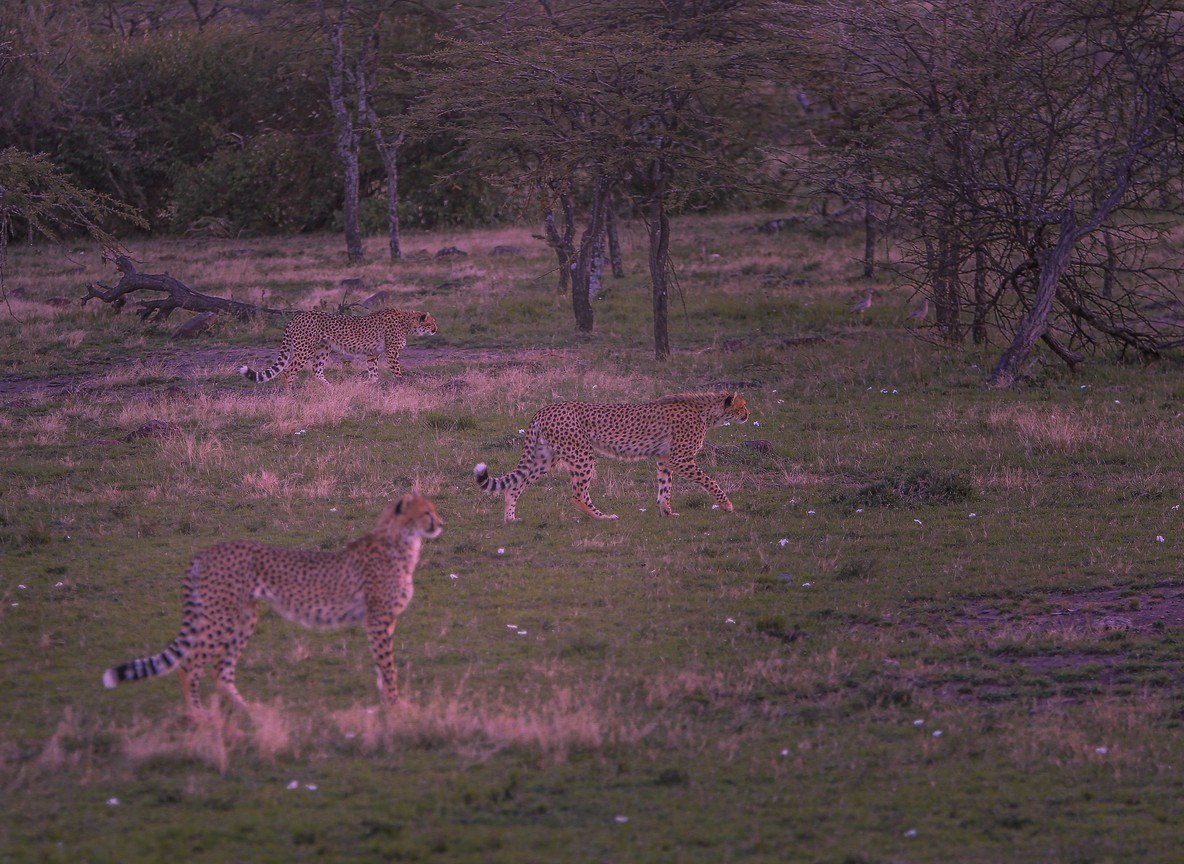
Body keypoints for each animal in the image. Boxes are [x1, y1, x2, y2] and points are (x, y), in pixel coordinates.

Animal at [102, 494, 443, 715]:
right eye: (427, 512)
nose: (441, 522)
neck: (401, 540)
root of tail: (208, 549)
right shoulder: (378, 619)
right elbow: (388, 666)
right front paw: (397, 707)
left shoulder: (379, 621)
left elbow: (380, 667)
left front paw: (388, 704)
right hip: (220, 616)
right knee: (189, 665)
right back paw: (200, 718)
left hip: (244, 616)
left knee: (220, 670)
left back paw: (251, 712)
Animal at [239, 308, 437, 389]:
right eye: (431, 322)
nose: (436, 329)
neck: (407, 321)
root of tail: (298, 315)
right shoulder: (392, 352)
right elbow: (396, 371)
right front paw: (401, 383)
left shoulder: (373, 353)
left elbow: (373, 371)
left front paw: (369, 383)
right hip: (305, 349)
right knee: (288, 371)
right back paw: (289, 394)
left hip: (322, 349)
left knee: (316, 371)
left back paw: (331, 389)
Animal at [474, 391, 749, 521]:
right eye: (742, 405)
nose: (748, 415)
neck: (707, 411)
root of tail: (546, 408)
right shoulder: (680, 459)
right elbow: (710, 481)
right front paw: (727, 505)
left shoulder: (664, 458)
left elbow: (665, 487)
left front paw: (666, 512)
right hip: (581, 453)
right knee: (578, 495)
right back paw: (603, 517)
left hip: (546, 457)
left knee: (515, 484)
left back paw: (511, 518)